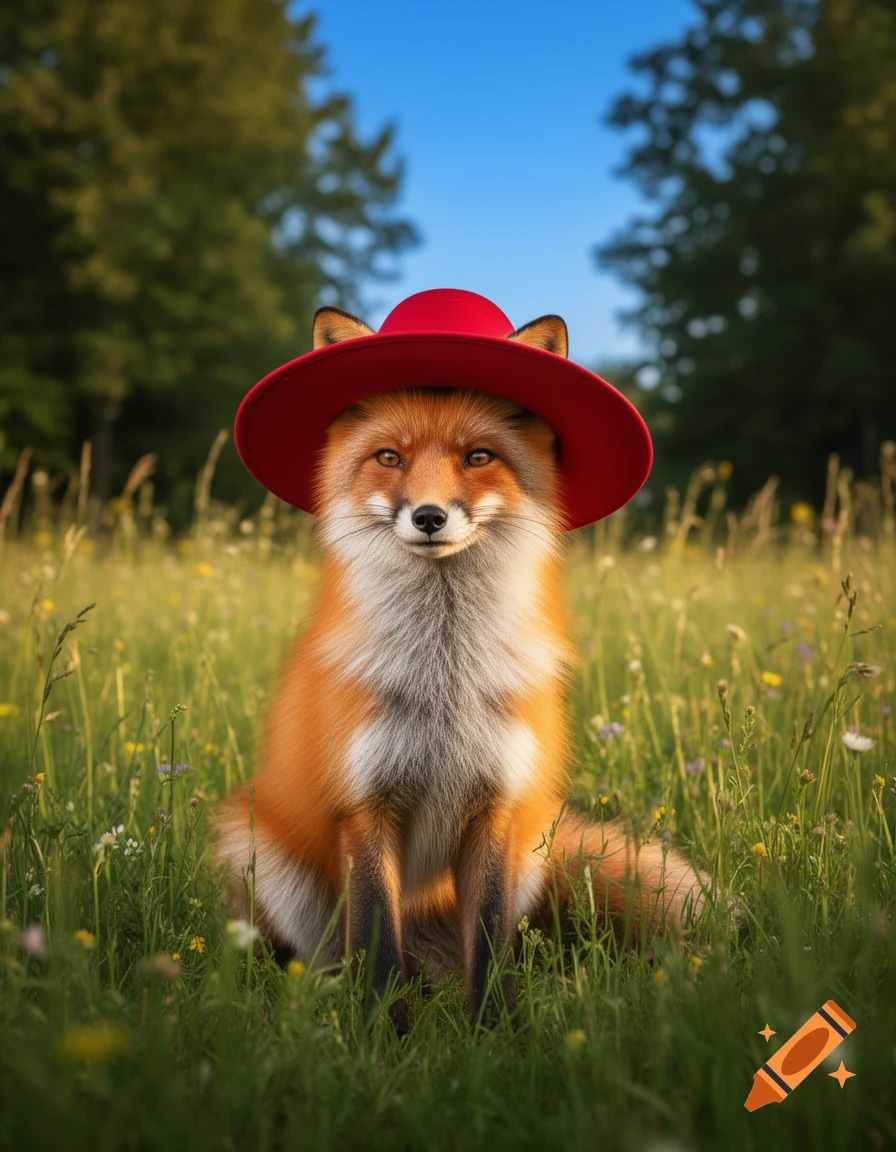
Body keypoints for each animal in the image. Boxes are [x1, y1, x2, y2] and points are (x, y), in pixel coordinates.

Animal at [216, 305, 708, 1027]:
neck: (444, 674)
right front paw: (382, 1037)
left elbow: (493, 946)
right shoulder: (365, 809)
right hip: (262, 853)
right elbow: (377, 948)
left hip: (530, 853)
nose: (428, 516)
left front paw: (495, 1036)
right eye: (389, 457)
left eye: (477, 457)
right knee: (340, 961)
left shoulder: (495, 808)